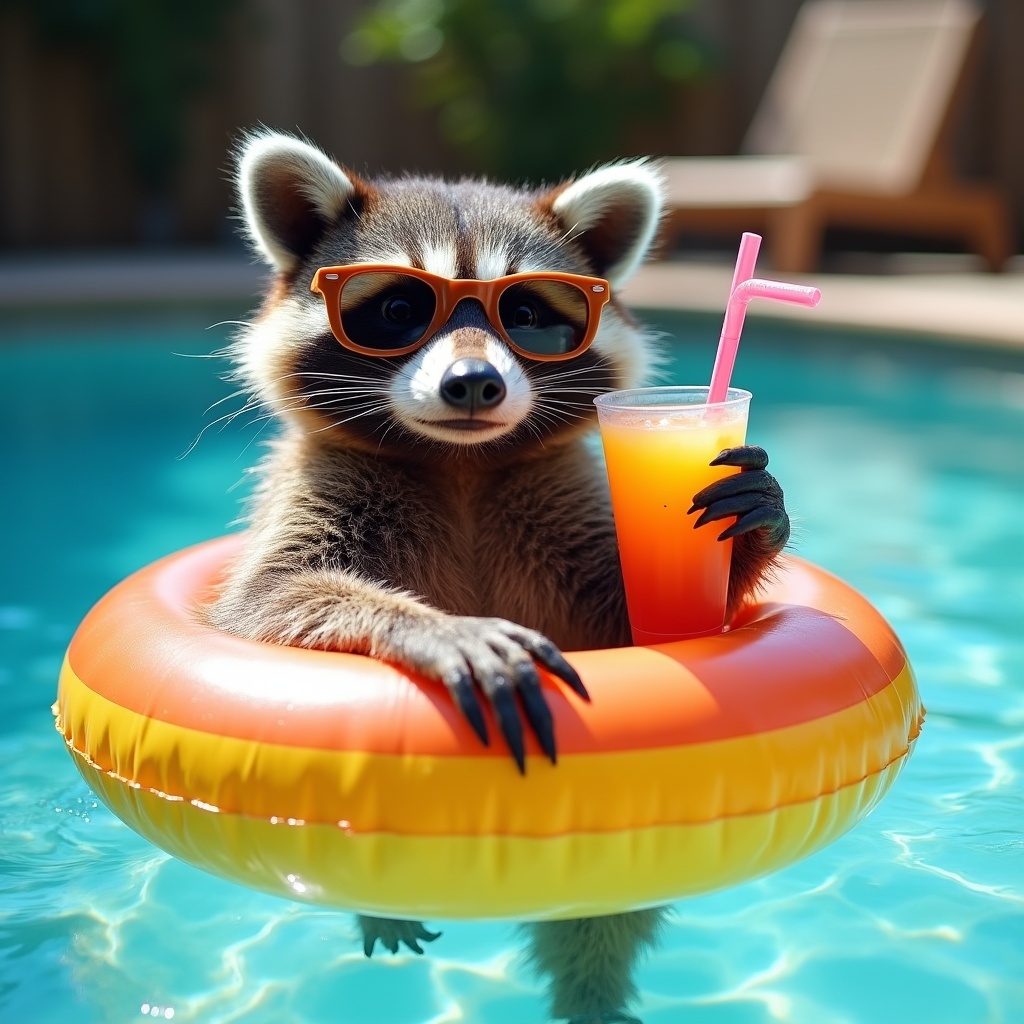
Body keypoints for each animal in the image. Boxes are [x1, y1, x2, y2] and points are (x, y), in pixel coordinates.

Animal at [210, 130, 790, 1023]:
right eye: (400, 310)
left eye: (524, 315)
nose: (473, 383)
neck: (461, 464)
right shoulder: (316, 492)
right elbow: (270, 598)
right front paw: (435, 625)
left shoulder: (561, 507)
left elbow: (636, 616)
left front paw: (752, 528)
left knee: (599, 919)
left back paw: (591, 996)